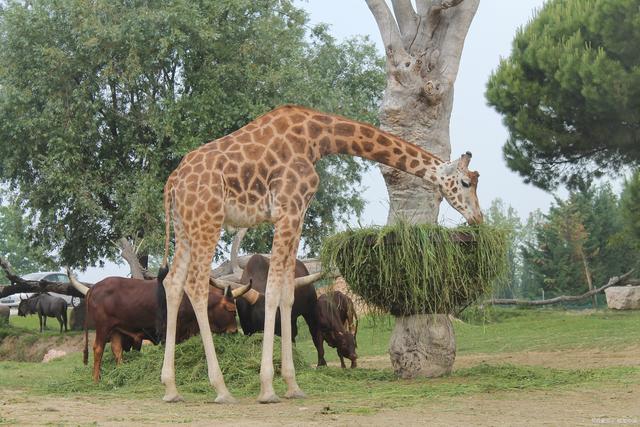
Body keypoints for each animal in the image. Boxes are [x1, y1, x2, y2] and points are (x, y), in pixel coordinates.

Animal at [69, 270, 249, 382]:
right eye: (232, 310)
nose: (234, 331)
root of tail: (94, 287)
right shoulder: (169, 329)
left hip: (115, 329)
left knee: (116, 349)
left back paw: (120, 372)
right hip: (103, 327)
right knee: (98, 349)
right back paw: (96, 379)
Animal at [158, 103, 482, 404]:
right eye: (466, 182)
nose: (478, 218)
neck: (317, 137)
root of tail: (172, 182)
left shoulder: (298, 213)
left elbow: (287, 293)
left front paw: (292, 386)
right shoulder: (288, 209)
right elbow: (272, 290)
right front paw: (267, 389)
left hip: (184, 226)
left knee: (172, 283)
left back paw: (171, 389)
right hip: (207, 220)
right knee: (196, 285)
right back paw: (221, 390)